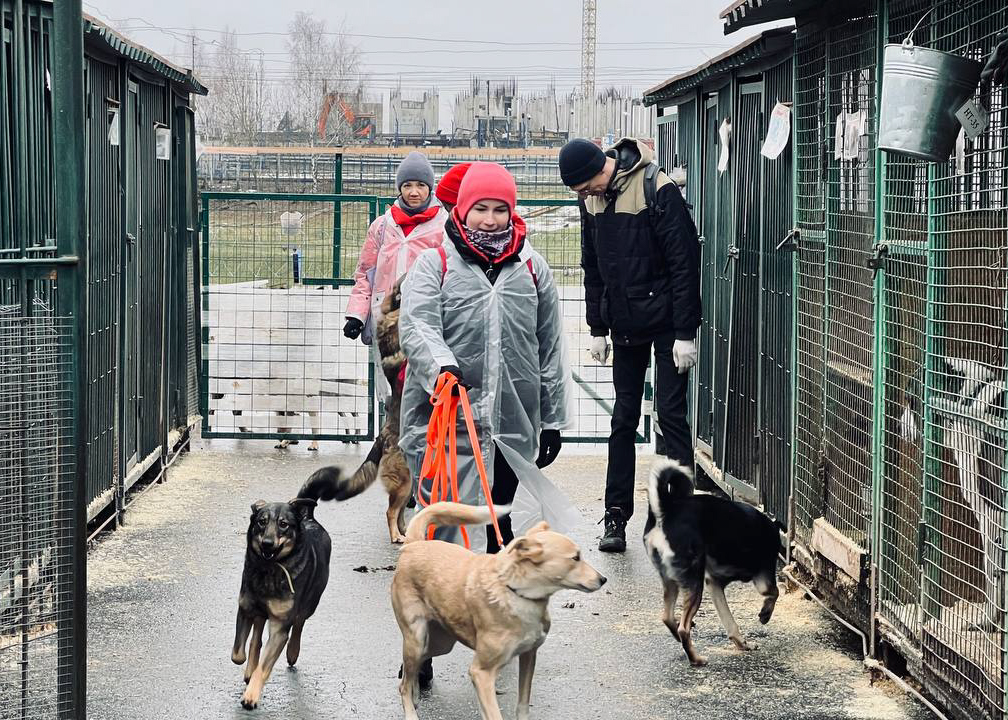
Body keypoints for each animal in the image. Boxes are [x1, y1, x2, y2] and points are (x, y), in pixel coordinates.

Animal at [232, 495, 331, 709]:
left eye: (283, 524)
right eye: (261, 522)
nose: (267, 543)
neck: (268, 569)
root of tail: (309, 517)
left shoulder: (279, 627)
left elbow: (263, 666)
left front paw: (251, 696)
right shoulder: (246, 608)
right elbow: (238, 654)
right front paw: (249, 669)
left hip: (310, 603)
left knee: (299, 623)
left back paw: (292, 652)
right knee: (257, 633)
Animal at [392, 502, 606, 720]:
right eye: (575, 558)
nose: (603, 579)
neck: (516, 592)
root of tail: (414, 544)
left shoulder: (529, 654)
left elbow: (523, 704)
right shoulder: (481, 672)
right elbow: (494, 713)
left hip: (440, 643)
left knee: (413, 670)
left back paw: (415, 694)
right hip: (416, 639)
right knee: (404, 683)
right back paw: (411, 709)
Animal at [643, 459, 780, 666]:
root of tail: (667, 511)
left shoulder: (714, 583)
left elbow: (730, 622)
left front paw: (742, 643)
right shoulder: (764, 575)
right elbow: (774, 592)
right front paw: (765, 614)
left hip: (672, 581)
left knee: (667, 617)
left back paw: (679, 639)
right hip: (694, 582)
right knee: (683, 628)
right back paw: (696, 659)